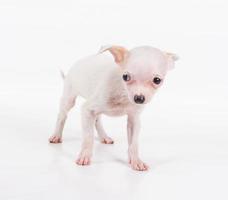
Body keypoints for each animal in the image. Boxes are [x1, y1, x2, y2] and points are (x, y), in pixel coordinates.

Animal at [49, 45, 178, 170]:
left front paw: (136, 161)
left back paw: (104, 137)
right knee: (62, 115)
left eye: (157, 80)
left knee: (97, 120)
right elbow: (88, 137)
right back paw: (56, 135)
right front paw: (85, 156)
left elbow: (134, 143)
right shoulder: (87, 110)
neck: (123, 93)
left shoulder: (134, 119)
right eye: (125, 77)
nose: (139, 98)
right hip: (69, 98)